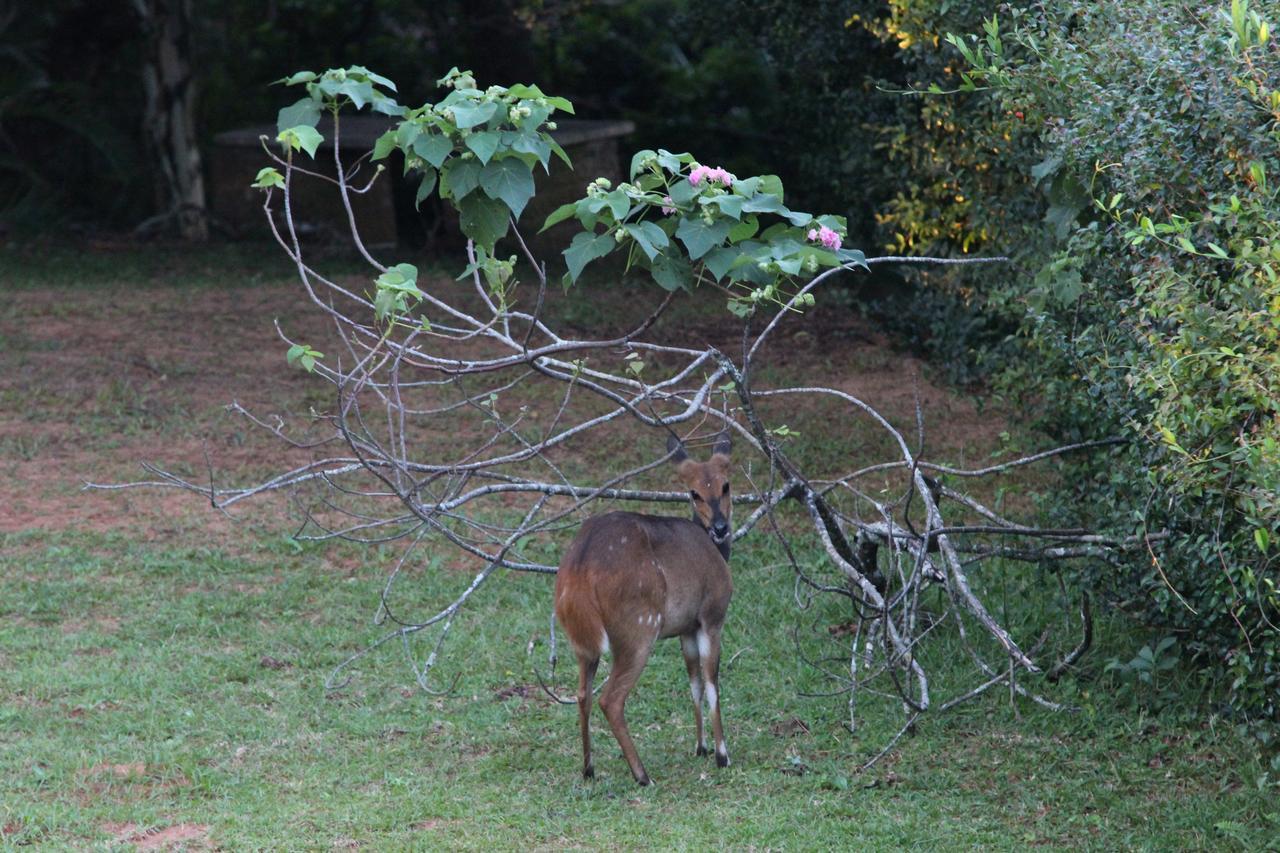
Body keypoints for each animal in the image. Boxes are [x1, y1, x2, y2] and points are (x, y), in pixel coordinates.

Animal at [555, 432, 737, 783]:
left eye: (726, 485)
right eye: (694, 492)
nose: (721, 527)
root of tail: (579, 571)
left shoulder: (686, 628)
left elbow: (693, 682)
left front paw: (701, 747)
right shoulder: (711, 617)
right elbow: (712, 683)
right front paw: (722, 755)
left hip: (582, 642)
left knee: (583, 693)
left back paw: (589, 769)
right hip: (638, 629)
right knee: (610, 698)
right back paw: (643, 775)